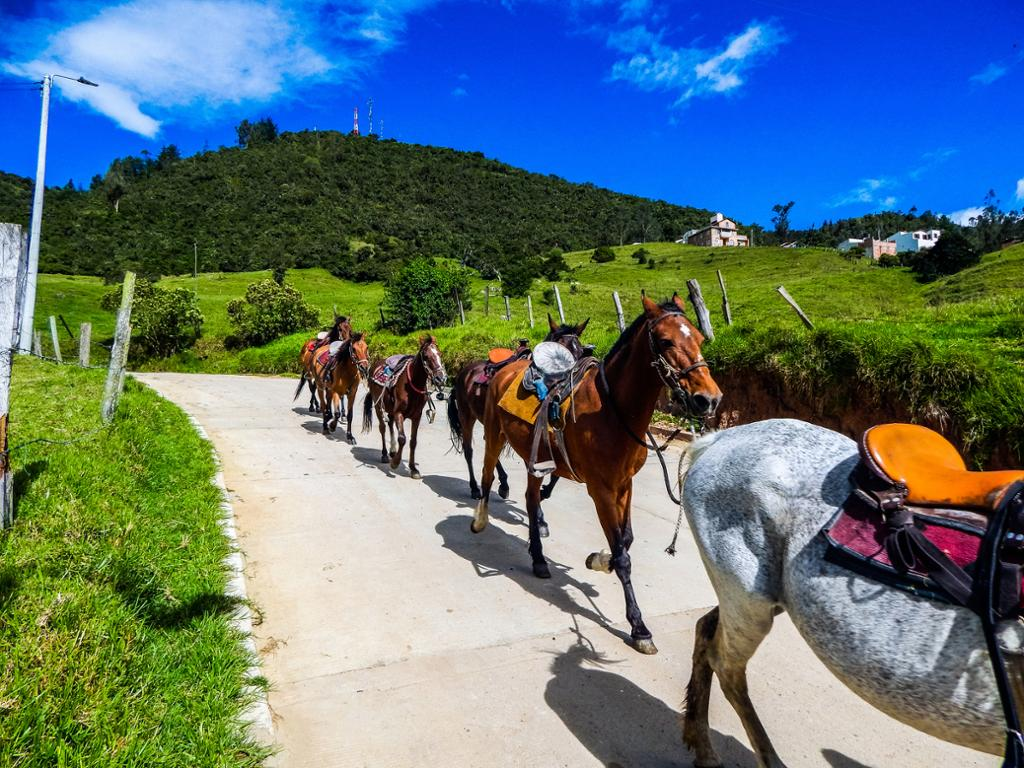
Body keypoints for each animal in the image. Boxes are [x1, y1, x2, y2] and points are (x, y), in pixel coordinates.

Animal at [362, 335, 448, 479]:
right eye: (426, 356)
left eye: (439, 353)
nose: (440, 378)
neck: (412, 384)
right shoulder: (399, 413)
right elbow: (402, 438)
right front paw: (395, 463)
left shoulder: (416, 416)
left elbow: (413, 441)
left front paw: (413, 469)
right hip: (378, 406)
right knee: (383, 427)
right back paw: (385, 454)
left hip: (390, 409)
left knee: (390, 423)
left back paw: (392, 450)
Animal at [447, 314, 590, 502]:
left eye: (579, 352)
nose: (567, 388)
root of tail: (463, 373)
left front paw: (545, 492)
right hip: (466, 415)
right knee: (469, 450)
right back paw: (475, 488)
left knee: (490, 446)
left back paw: (503, 484)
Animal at [472, 295, 722, 654]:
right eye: (665, 341)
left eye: (700, 338)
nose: (709, 399)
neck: (613, 412)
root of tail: (504, 368)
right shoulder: (601, 490)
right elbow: (623, 555)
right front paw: (638, 627)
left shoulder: (624, 485)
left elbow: (625, 542)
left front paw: (598, 560)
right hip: (494, 434)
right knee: (488, 475)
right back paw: (479, 520)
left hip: (536, 460)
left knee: (532, 501)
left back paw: (538, 558)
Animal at [679, 418, 1023, 767]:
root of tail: (723, 436)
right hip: (748, 601)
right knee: (725, 666)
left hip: (760, 598)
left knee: (707, 629)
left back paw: (702, 746)